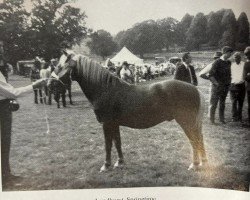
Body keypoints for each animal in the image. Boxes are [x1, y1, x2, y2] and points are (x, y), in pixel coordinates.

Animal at [49, 51, 208, 172]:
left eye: (60, 66)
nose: (50, 82)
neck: (105, 90)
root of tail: (194, 89)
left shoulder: (106, 124)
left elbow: (108, 144)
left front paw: (106, 165)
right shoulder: (114, 124)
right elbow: (117, 142)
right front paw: (119, 162)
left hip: (186, 122)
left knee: (194, 140)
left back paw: (194, 165)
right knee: (199, 138)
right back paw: (203, 163)